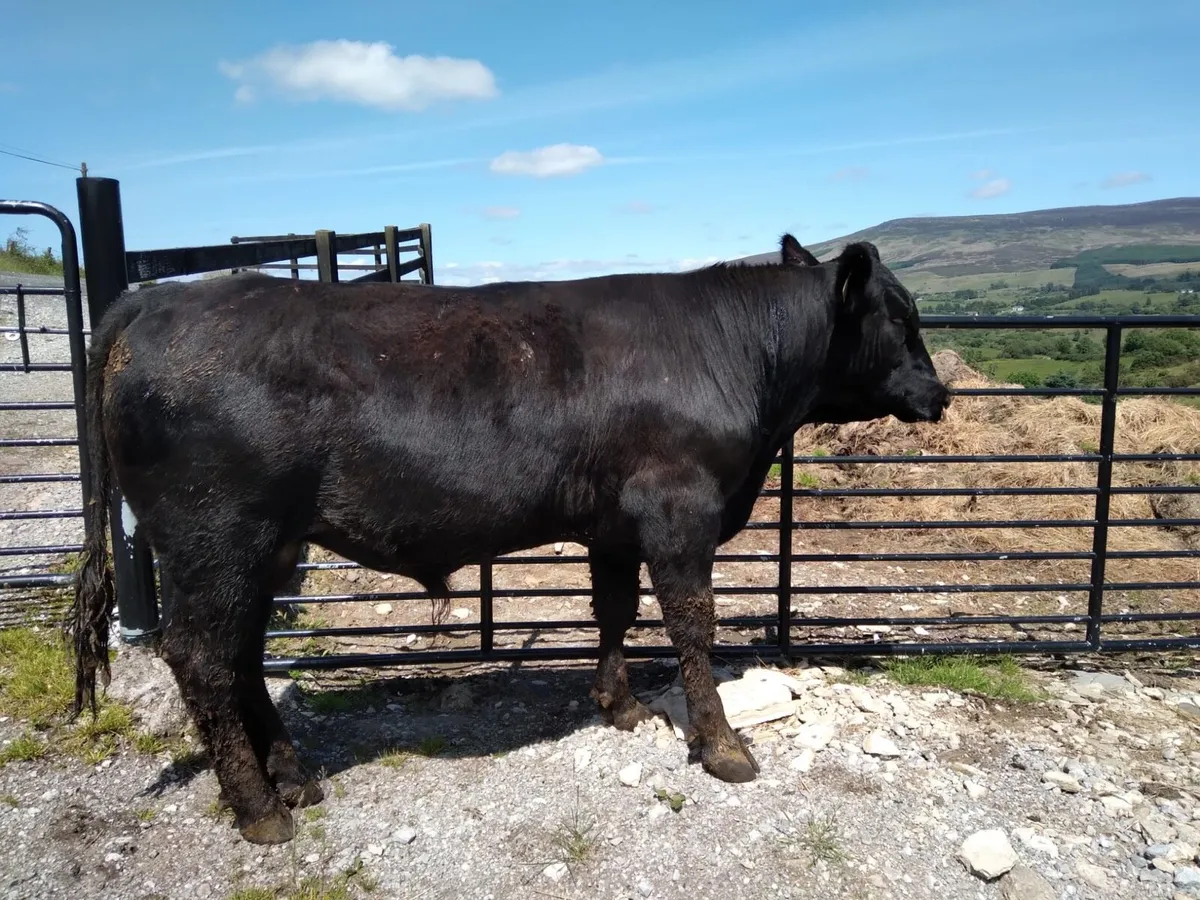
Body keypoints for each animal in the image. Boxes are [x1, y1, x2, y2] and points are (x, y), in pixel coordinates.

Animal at [67, 234, 949, 845]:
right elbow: (692, 626)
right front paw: (723, 746)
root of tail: (155, 301)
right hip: (215, 539)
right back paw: (259, 809)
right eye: (902, 317)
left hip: (262, 550)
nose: (939, 393)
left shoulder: (614, 523)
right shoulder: (680, 510)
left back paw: (294, 780)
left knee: (242, 657)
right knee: (205, 659)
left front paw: (619, 704)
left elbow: (613, 610)